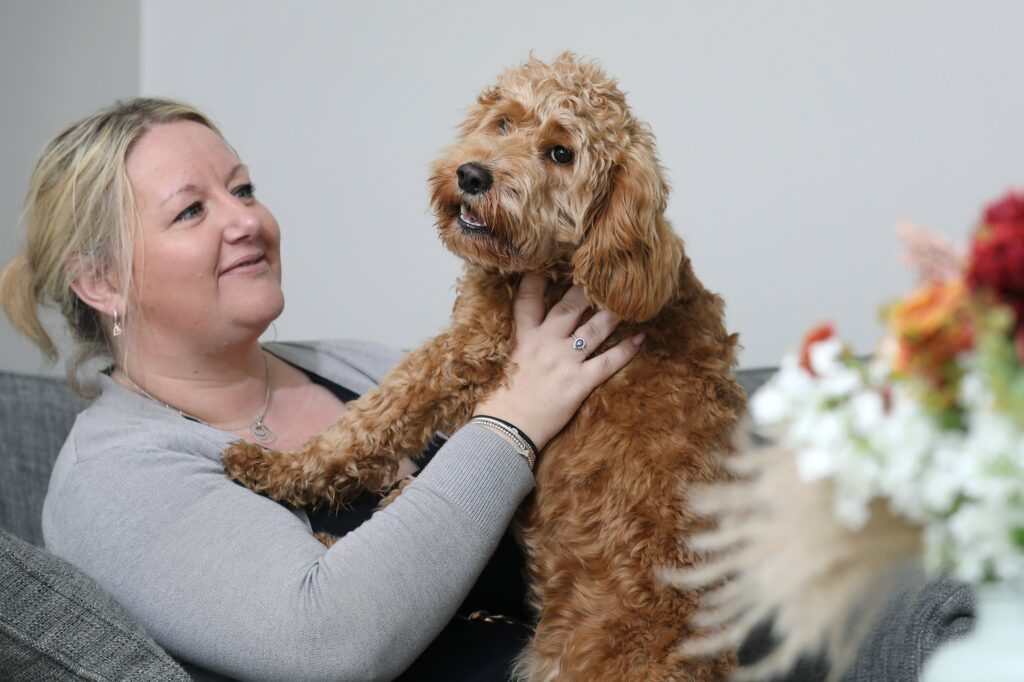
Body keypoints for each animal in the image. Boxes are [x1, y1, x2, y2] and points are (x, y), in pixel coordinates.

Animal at [222, 54, 745, 679]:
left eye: (561, 153)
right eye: (503, 122)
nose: (472, 175)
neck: (575, 263)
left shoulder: (472, 350)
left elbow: (371, 418)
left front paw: (275, 466)